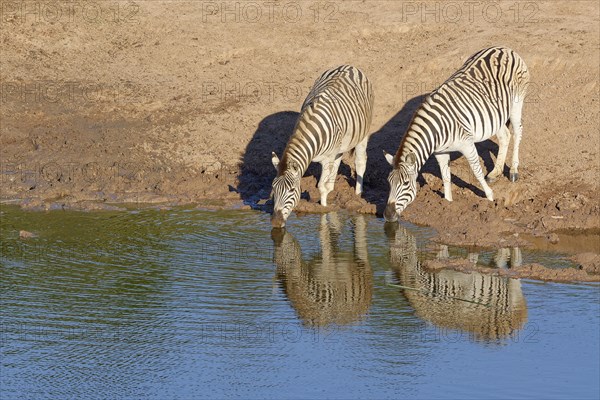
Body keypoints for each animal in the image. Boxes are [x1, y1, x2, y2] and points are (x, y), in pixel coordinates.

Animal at [270, 65, 372, 228]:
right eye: (273, 188)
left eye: (291, 190)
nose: (275, 222)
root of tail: (349, 66)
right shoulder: (329, 156)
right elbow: (325, 182)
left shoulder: (326, 159)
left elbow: (321, 187)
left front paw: (324, 210)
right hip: (340, 145)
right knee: (337, 162)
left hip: (363, 134)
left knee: (360, 162)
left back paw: (357, 195)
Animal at [384, 47, 528, 223]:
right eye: (389, 182)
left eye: (405, 183)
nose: (387, 215)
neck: (435, 130)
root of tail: (504, 48)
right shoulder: (440, 152)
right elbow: (446, 176)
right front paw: (448, 202)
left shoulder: (467, 144)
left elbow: (476, 171)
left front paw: (489, 196)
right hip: (496, 115)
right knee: (505, 136)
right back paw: (495, 172)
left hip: (516, 103)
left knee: (518, 132)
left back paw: (513, 171)